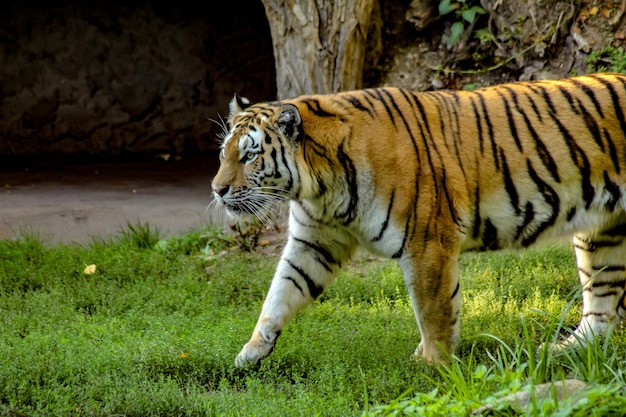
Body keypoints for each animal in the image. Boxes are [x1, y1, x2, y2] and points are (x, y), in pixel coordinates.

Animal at [211, 72, 624, 368]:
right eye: (223, 153)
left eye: (249, 156)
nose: (217, 189)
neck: (319, 188)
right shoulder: (313, 242)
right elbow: (279, 294)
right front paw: (249, 354)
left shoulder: (426, 243)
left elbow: (433, 310)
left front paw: (434, 367)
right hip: (602, 234)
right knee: (602, 304)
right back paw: (565, 351)